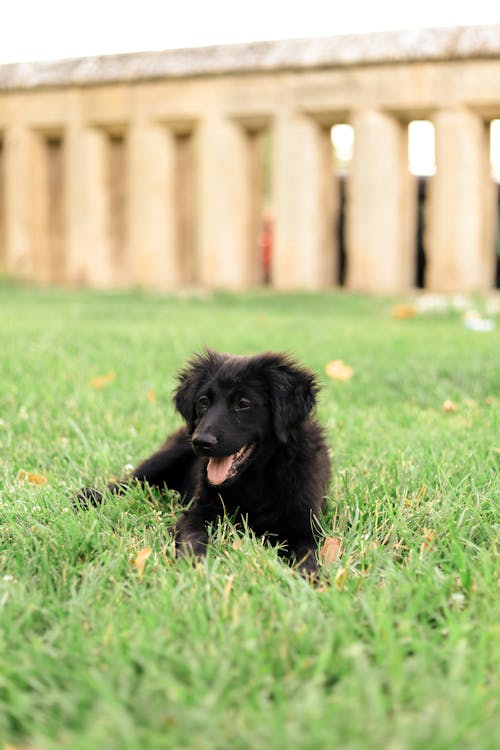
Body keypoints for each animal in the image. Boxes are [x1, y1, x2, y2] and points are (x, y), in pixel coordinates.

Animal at [78, 352, 330, 576]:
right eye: (203, 402)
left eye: (243, 404)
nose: (201, 442)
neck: (255, 478)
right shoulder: (200, 511)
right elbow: (193, 538)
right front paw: (194, 565)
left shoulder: (303, 526)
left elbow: (307, 555)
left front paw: (310, 578)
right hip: (167, 456)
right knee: (129, 482)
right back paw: (88, 496)